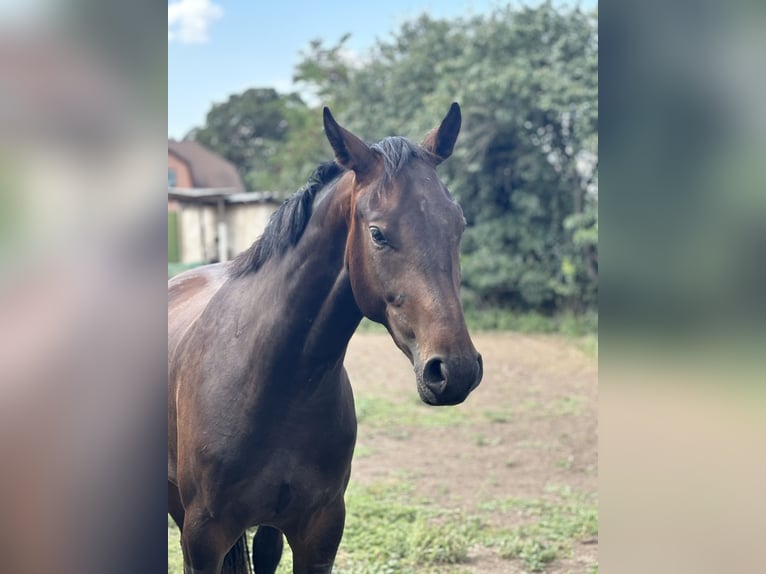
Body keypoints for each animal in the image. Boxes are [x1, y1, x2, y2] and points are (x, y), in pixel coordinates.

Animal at [169, 104, 484, 574]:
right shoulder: (203, 537)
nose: (455, 369)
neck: (276, 383)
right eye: (378, 233)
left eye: (457, 225)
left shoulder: (320, 535)